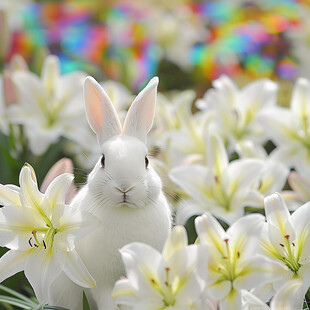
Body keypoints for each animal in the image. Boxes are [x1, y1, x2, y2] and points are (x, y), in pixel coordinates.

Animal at [70, 76, 172, 308]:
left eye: (146, 161)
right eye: (102, 160)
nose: (124, 187)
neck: (125, 212)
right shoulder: (102, 282)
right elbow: (107, 301)